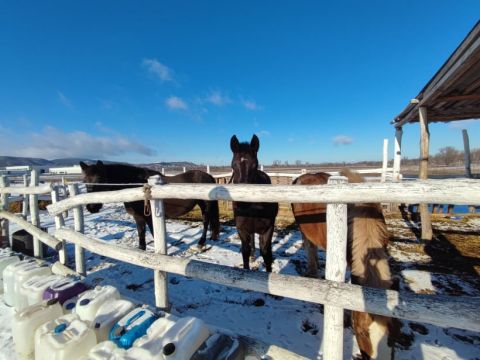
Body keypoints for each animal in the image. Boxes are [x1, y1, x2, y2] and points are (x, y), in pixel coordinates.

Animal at [80, 162, 219, 252]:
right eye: (84, 181)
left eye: (100, 179)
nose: (91, 207)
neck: (136, 185)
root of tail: (208, 176)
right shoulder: (138, 217)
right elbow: (141, 234)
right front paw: (142, 251)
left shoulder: (149, 217)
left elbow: (153, 234)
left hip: (205, 206)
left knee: (205, 222)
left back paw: (201, 243)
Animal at [229, 136, 278, 272]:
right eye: (233, 165)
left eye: (255, 164)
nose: (242, 202)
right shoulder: (241, 229)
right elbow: (245, 251)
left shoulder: (267, 230)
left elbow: (266, 252)